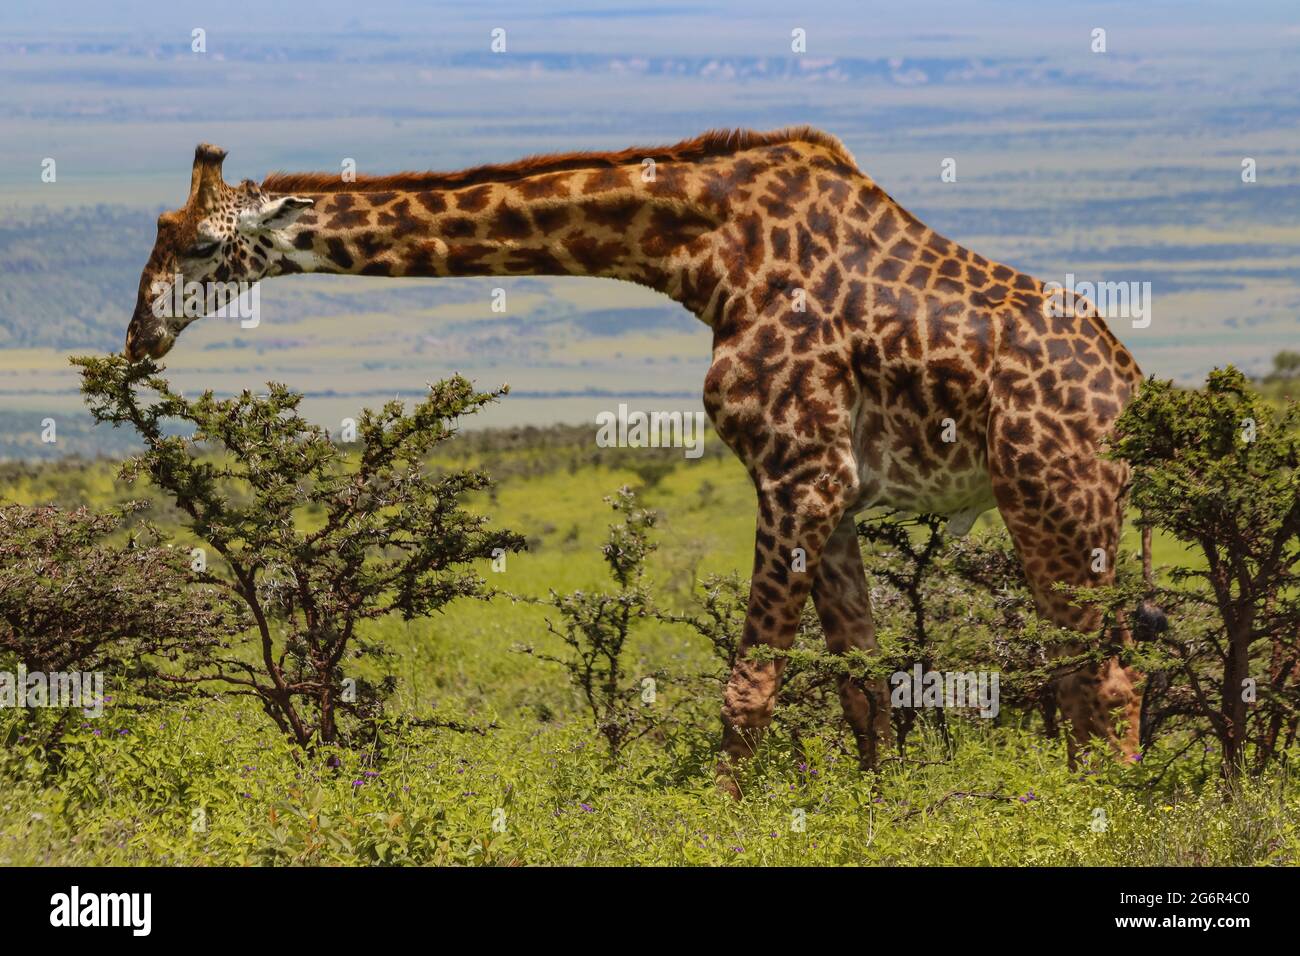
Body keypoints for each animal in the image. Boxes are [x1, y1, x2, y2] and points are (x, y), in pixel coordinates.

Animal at [125, 130, 1149, 790]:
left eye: (204, 245)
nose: (139, 338)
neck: (707, 251)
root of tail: (1130, 386)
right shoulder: (836, 493)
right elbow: (863, 684)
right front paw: (889, 813)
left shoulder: (797, 471)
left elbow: (747, 693)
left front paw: (724, 826)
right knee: (1076, 677)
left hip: (1054, 500)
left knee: (1107, 678)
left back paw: (1111, 815)